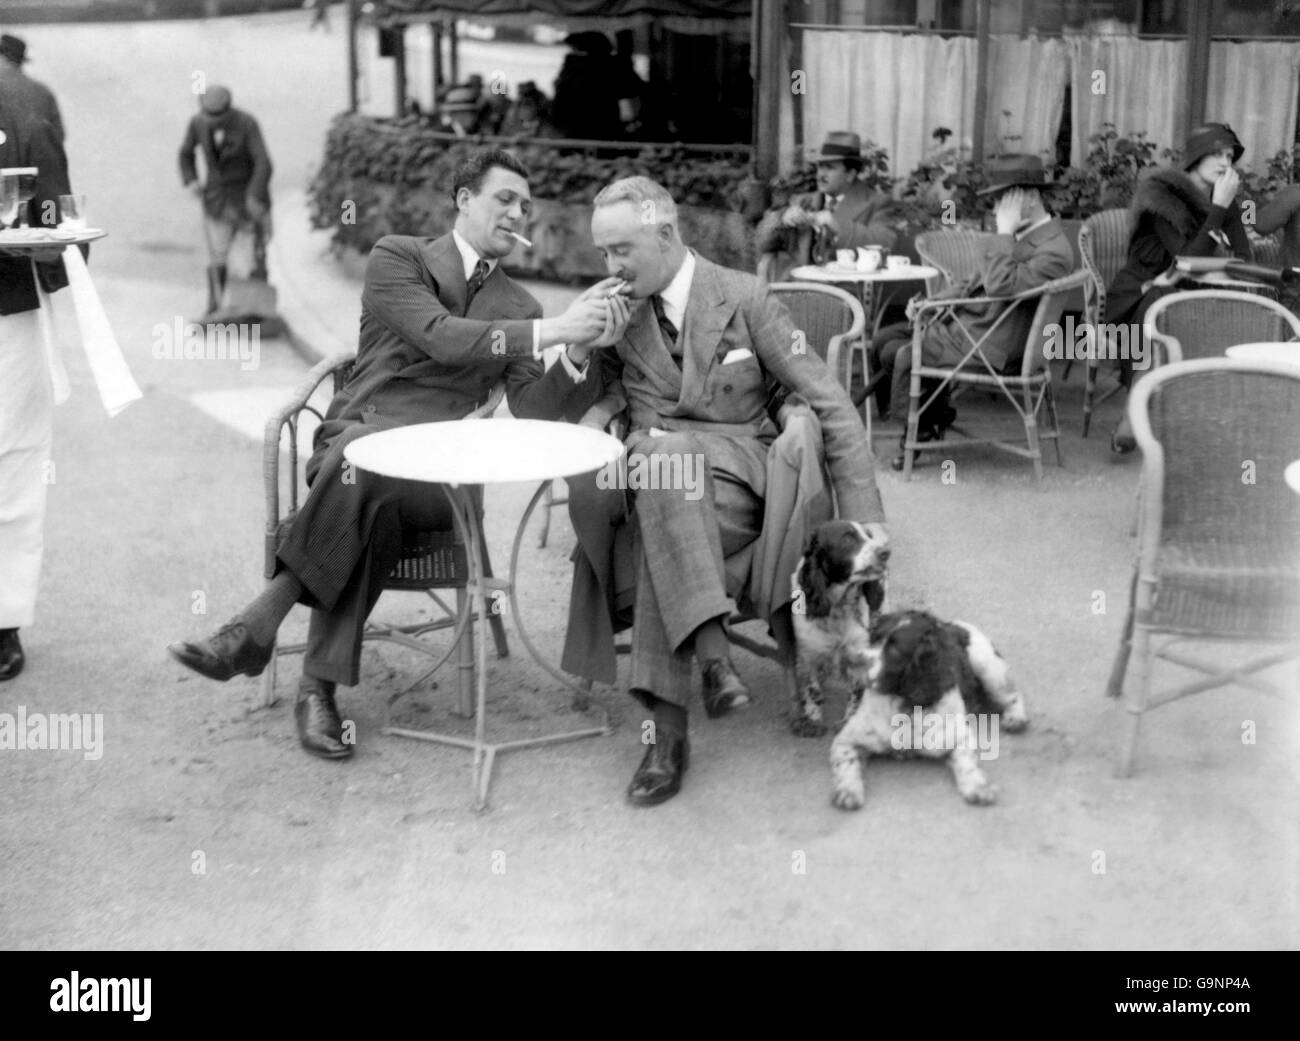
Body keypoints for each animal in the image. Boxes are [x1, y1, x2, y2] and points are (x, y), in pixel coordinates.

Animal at [785, 525, 1029, 805]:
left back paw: (1016, 719)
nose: (885, 552)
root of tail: (952, 625)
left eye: (894, 650)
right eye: (847, 539)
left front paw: (979, 787)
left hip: (989, 667)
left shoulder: (960, 738)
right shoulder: (842, 730)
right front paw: (847, 789)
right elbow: (835, 737)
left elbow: (967, 763)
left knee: (1013, 696)